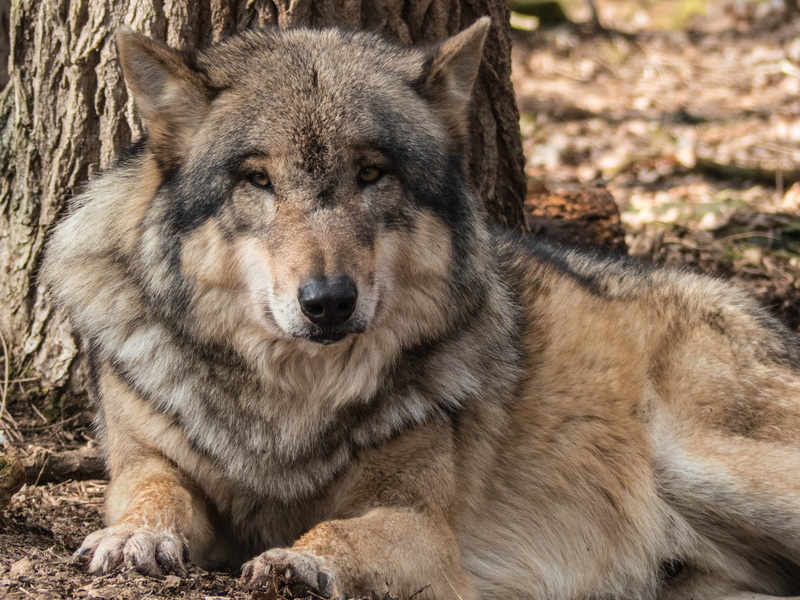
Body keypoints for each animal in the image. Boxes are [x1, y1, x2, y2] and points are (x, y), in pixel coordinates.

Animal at [41, 17, 800, 600]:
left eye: (372, 173)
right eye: (257, 180)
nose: (327, 302)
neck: (289, 412)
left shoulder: (424, 529)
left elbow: (346, 530)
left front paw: (299, 559)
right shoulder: (142, 461)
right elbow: (155, 494)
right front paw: (132, 538)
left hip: (715, 469)